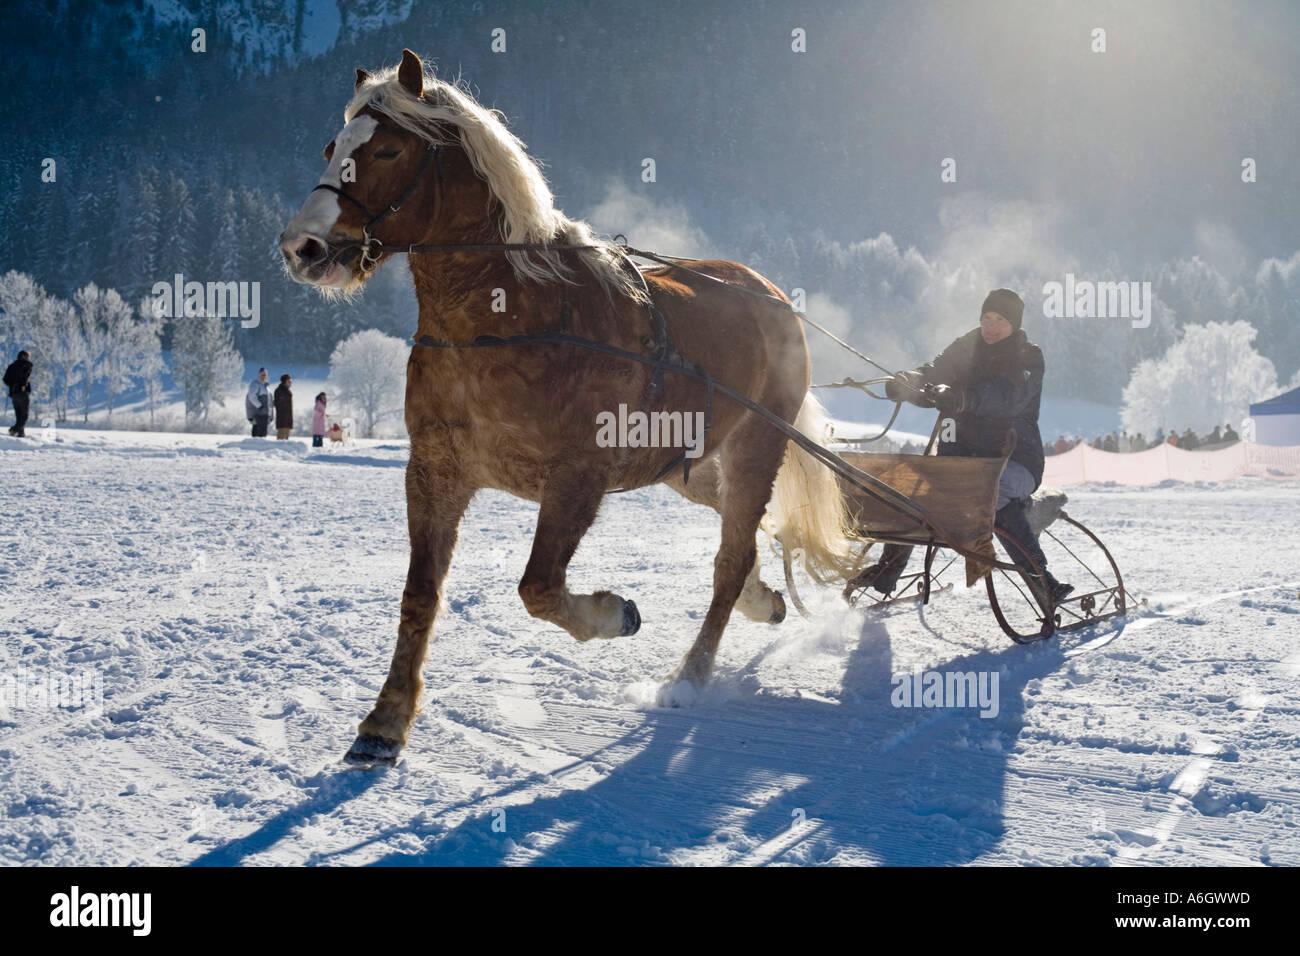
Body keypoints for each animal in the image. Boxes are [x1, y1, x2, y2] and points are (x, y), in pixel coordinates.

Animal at [279, 52, 857, 764]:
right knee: (743, 536)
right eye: (332, 148)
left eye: (387, 148)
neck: (507, 319)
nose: (302, 247)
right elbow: (420, 595)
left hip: (756, 447)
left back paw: (689, 676)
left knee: (729, 558)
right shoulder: (436, 472)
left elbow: (538, 588)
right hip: (686, 464)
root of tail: (771, 295)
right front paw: (386, 720)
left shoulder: (576, 479)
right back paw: (762, 600)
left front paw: (615, 614)